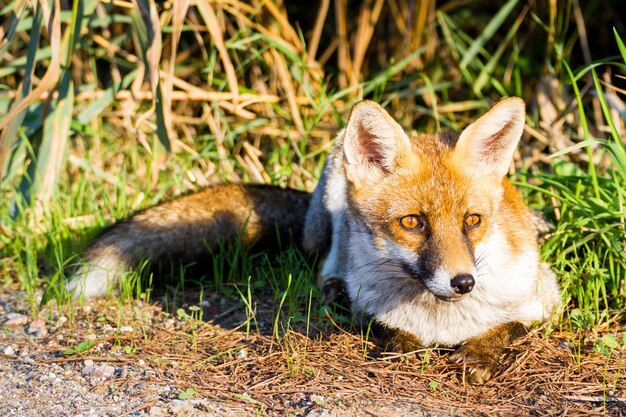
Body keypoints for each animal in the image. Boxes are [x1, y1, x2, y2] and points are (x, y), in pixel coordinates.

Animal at [67, 97, 556, 384]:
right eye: (413, 222)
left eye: (473, 220)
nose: (463, 282)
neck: (442, 323)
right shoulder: (368, 304)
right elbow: (386, 326)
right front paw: (402, 345)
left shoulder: (543, 298)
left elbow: (506, 327)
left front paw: (480, 353)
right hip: (334, 204)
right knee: (324, 268)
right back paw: (332, 288)